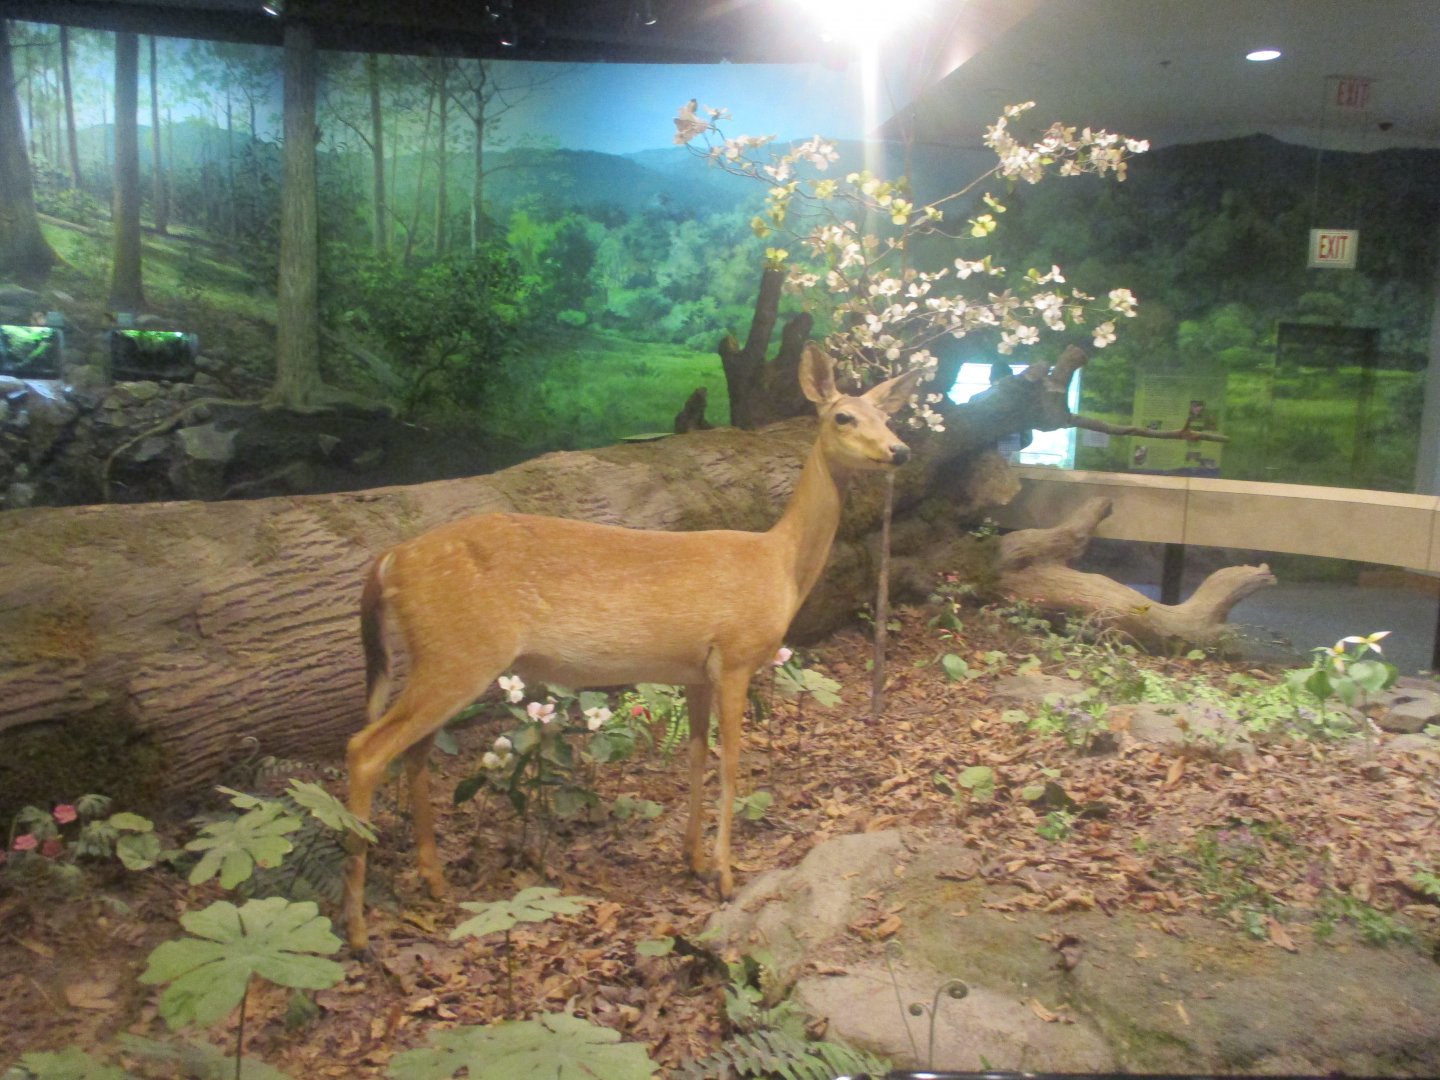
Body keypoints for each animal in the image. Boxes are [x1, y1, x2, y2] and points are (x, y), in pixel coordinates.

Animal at [342, 343, 923, 948]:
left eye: (889, 416)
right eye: (843, 417)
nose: (900, 450)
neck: (779, 565)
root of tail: (389, 560)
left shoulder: (697, 671)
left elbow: (696, 755)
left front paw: (692, 859)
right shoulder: (736, 656)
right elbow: (732, 764)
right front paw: (724, 876)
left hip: (445, 657)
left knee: (413, 753)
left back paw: (433, 884)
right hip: (459, 652)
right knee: (366, 749)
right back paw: (357, 930)